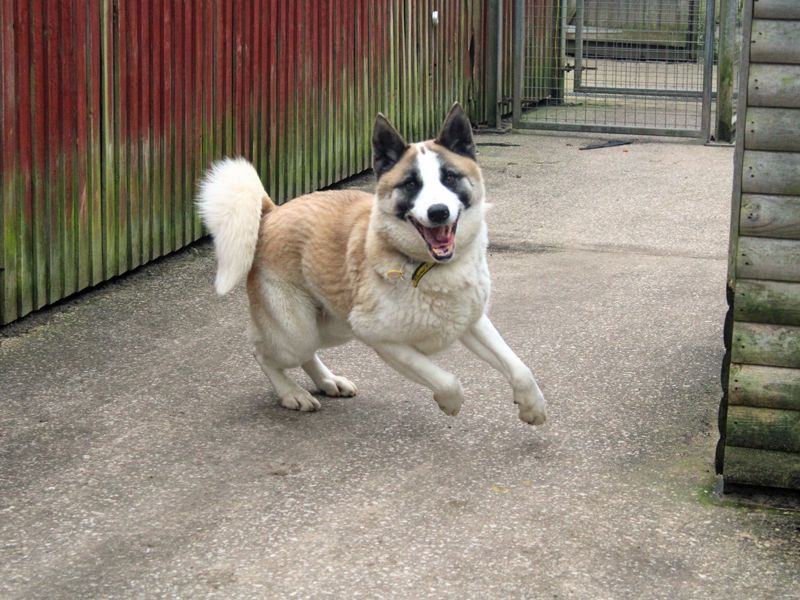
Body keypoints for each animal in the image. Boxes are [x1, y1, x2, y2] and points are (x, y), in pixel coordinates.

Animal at [197, 103, 547, 425]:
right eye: (411, 184)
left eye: (449, 177)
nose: (438, 212)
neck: (427, 268)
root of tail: (272, 211)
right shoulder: (382, 340)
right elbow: (448, 380)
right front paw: (449, 402)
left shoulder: (471, 321)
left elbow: (519, 367)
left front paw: (532, 407)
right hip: (297, 332)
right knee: (263, 353)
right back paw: (292, 393)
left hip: (332, 325)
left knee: (307, 354)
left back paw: (328, 381)